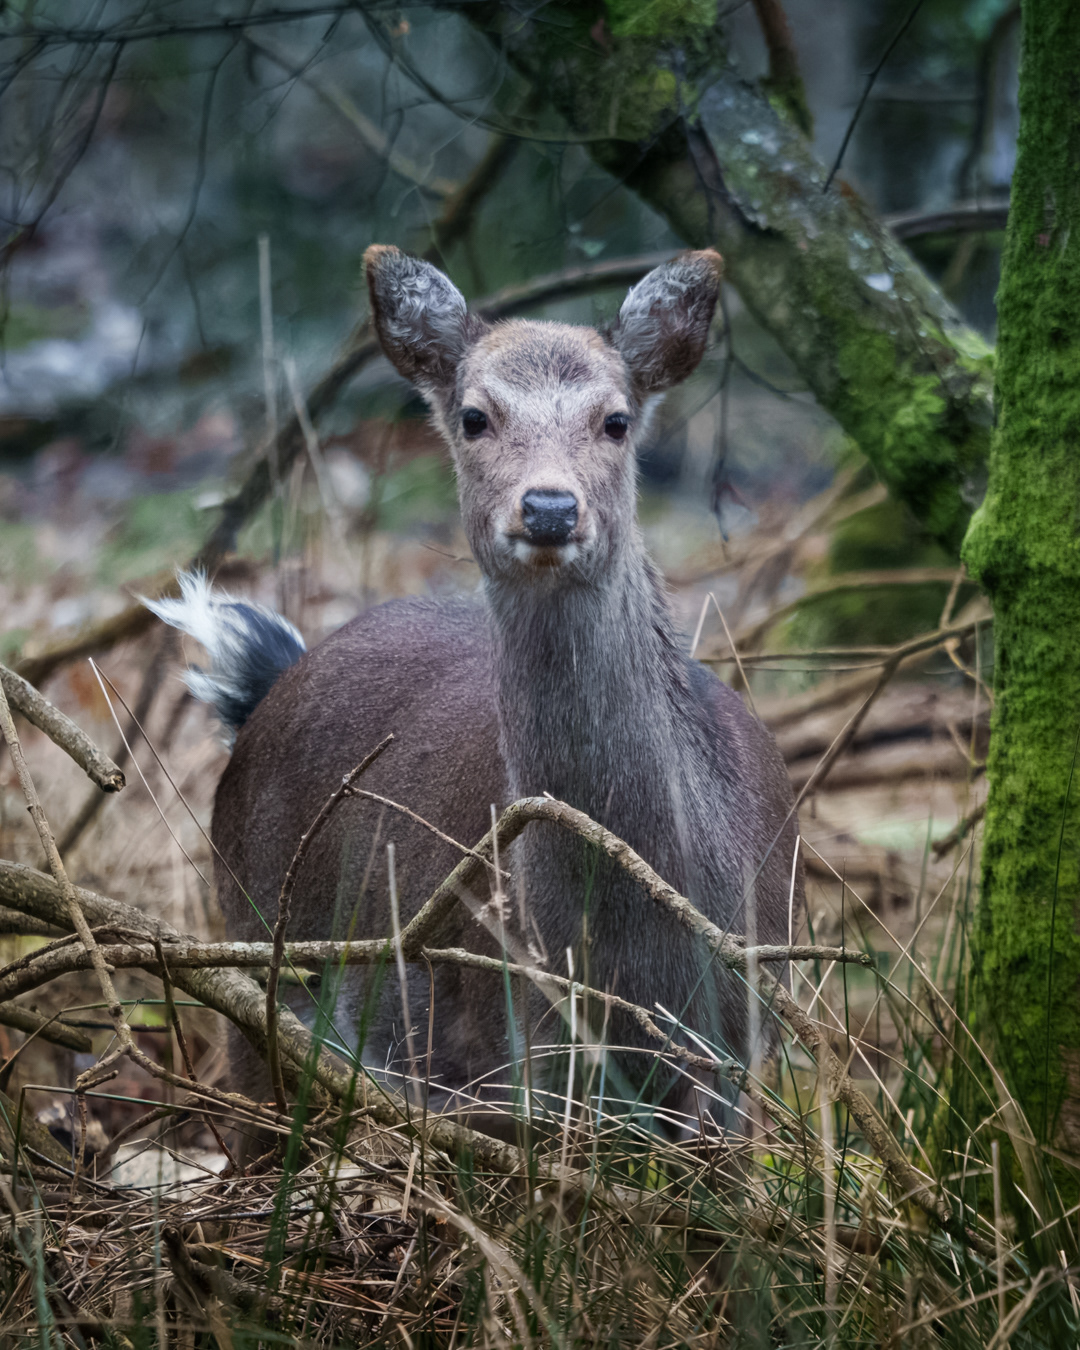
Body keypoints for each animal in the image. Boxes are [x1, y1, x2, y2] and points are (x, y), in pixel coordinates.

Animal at [147, 245, 803, 1139]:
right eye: (473, 417)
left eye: (616, 419)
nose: (550, 507)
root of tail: (276, 682)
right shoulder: (504, 1057)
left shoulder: (738, 1048)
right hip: (257, 959)